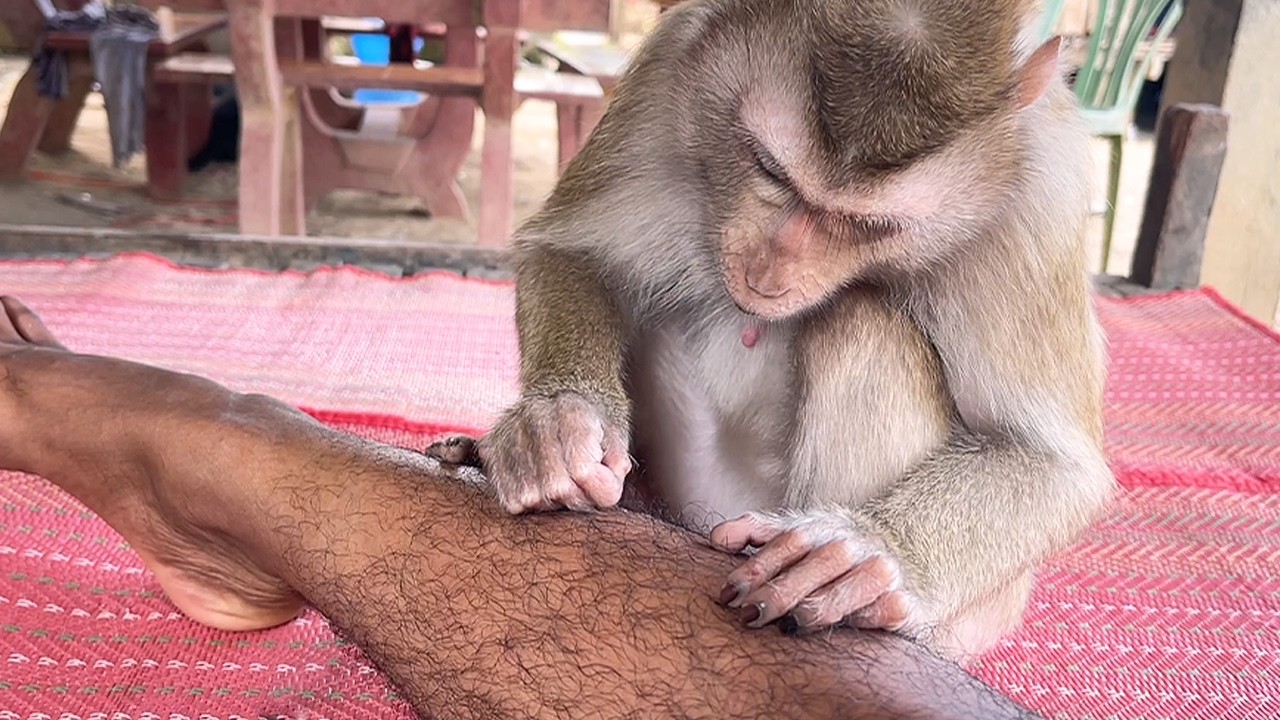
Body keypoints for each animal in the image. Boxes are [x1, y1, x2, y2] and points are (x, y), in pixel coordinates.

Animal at [431, 0, 1111, 661]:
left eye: (871, 226)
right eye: (770, 168)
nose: (770, 272)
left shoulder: (1038, 203)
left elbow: (1046, 459)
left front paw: (868, 554)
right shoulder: (670, 67)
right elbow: (577, 254)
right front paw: (559, 423)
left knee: (861, 325)